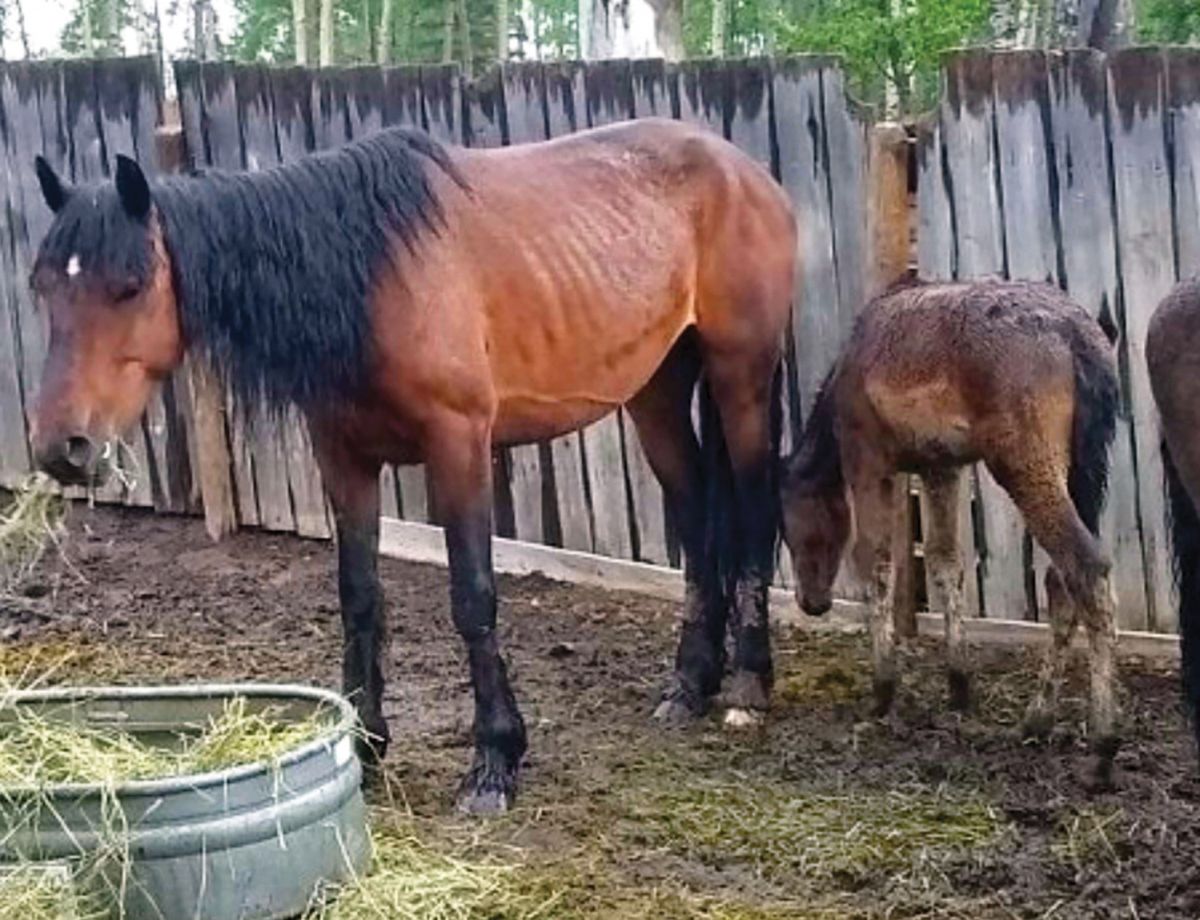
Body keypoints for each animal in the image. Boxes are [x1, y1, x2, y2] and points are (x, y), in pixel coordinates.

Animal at [26, 118, 797, 813]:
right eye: (43, 288)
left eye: (130, 285)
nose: (60, 447)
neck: (372, 277)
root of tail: (744, 171)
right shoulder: (345, 460)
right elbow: (360, 598)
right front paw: (364, 748)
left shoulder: (459, 446)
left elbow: (473, 598)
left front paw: (494, 762)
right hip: (656, 391)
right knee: (696, 519)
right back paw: (688, 686)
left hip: (741, 380)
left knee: (756, 513)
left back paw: (748, 686)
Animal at [780, 277, 1122, 785]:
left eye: (790, 527)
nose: (812, 602)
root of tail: (1082, 342)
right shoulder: (941, 466)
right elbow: (945, 561)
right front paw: (959, 684)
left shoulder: (869, 458)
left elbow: (878, 561)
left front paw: (883, 689)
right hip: (1084, 470)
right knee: (1060, 579)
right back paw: (1036, 718)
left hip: (1025, 460)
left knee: (1087, 568)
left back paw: (1102, 746)